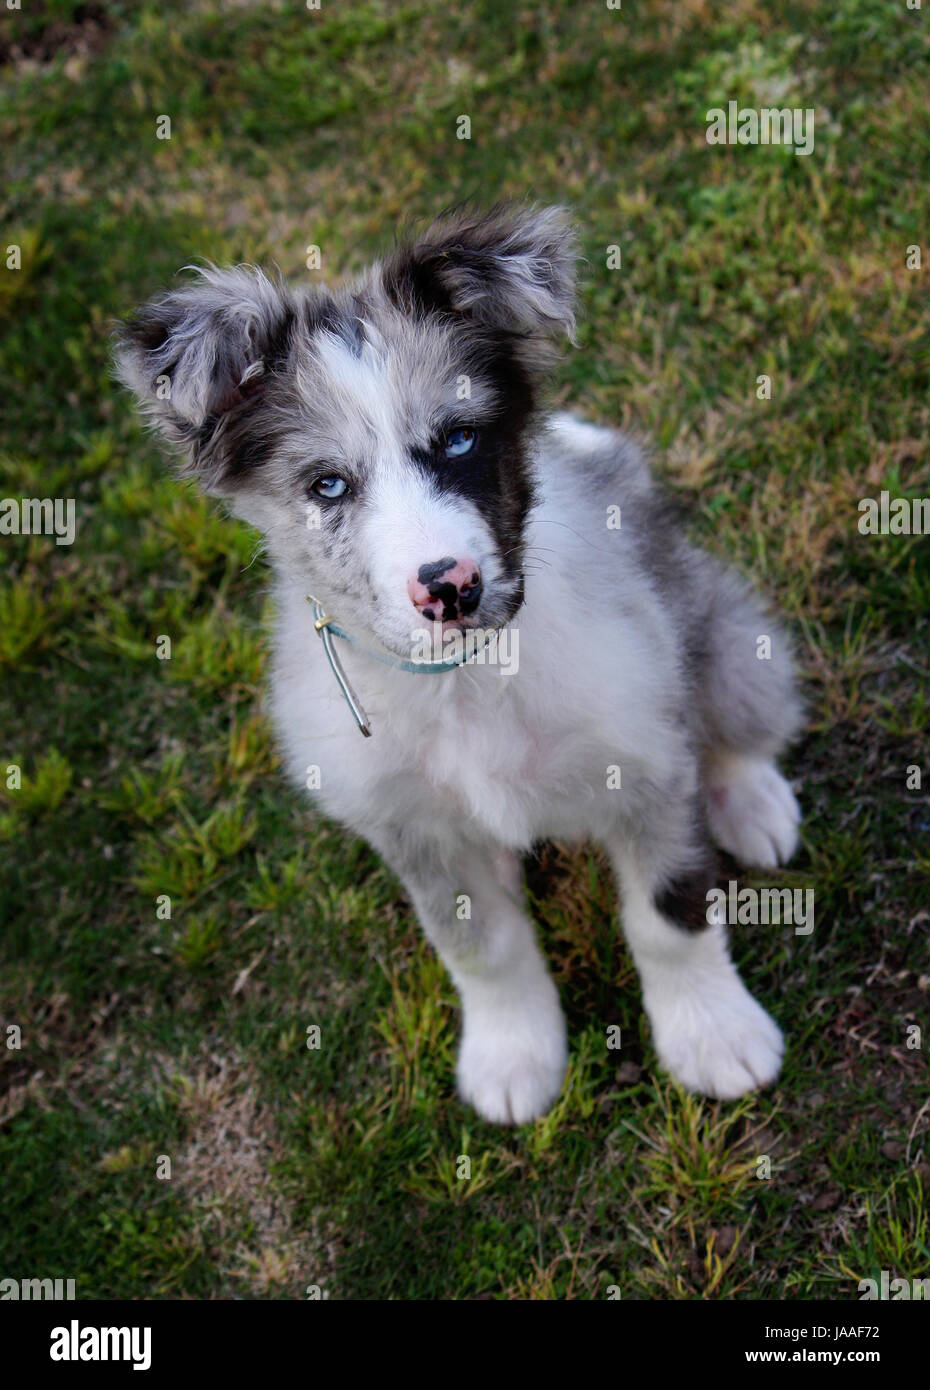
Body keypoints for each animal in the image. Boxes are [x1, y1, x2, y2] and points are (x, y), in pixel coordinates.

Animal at [113, 211, 800, 1134]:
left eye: (461, 438)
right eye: (328, 486)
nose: (451, 588)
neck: (467, 681)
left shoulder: (649, 761)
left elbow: (669, 914)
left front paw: (714, 1036)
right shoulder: (411, 827)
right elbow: (482, 948)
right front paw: (513, 1056)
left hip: (720, 635)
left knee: (736, 725)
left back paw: (753, 802)